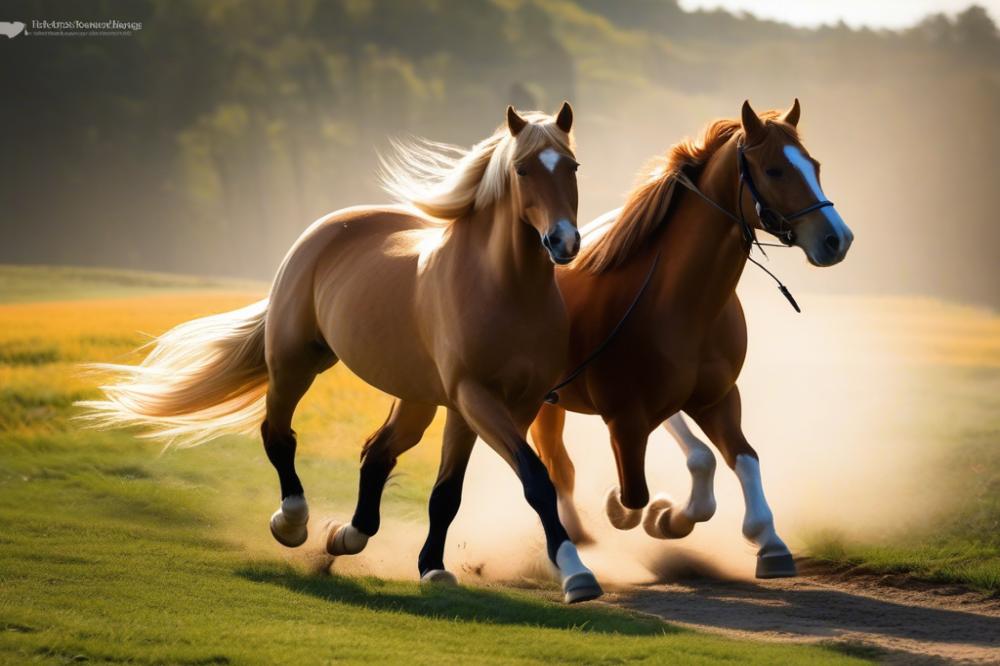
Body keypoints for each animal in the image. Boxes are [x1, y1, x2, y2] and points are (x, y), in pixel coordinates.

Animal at [84, 102, 600, 600]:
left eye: (572, 166)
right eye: (522, 169)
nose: (563, 241)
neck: (504, 288)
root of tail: (326, 228)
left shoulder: (507, 405)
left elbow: (453, 491)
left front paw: (433, 568)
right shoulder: (474, 397)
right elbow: (534, 480)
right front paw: (577, 576)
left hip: (416, 398)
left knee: (376, 454)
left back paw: (344, 537)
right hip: (296, 362)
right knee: (278, 433)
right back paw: (292, 524)